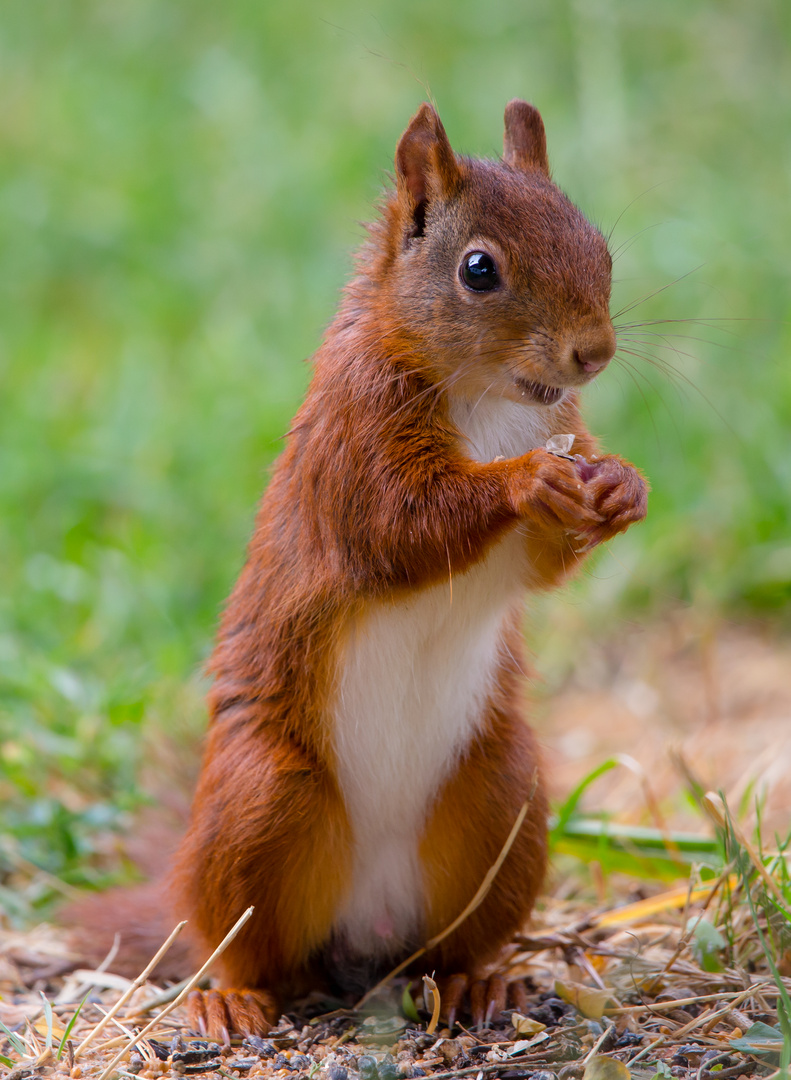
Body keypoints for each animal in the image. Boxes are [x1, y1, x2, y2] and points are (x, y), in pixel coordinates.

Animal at [165, 99, 644, 1036]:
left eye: (599, 246)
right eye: (478, 270)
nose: (594, 352)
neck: (491, 402)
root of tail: (366, 927)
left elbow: (540, 564)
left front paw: (619, 485)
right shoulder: (355, 441)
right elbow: (400, 530)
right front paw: (525, 480)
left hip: (503, 796)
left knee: (448, 946)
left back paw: (474, 983)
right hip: (259, 797)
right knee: (241, 943)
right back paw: (230, 998)